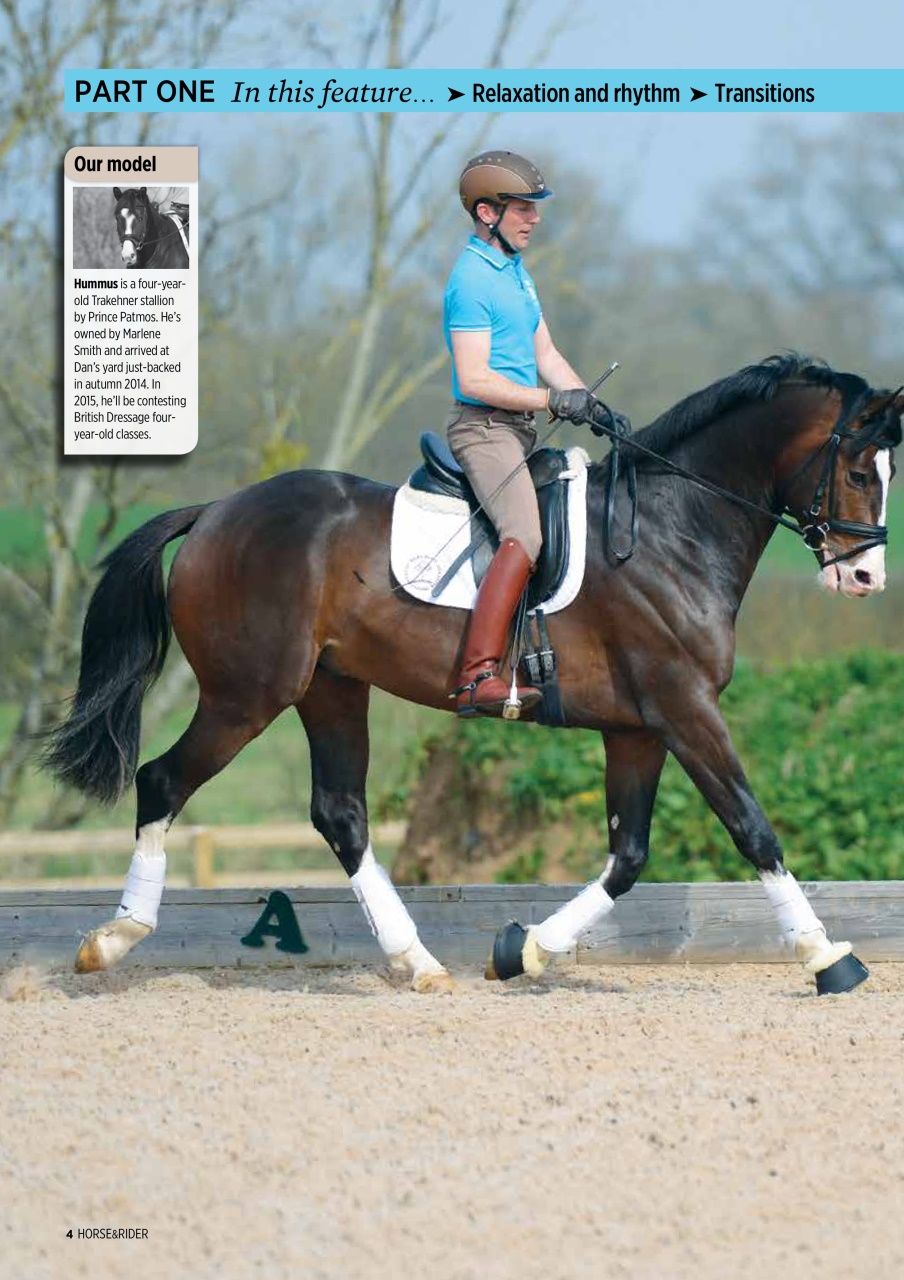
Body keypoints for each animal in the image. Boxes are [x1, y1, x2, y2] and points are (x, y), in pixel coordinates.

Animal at [43, 355, 901, 994]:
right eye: (863, 472)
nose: (865, 578)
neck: (669, 530)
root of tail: (217, 512)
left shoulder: (638, 728)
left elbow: (627, 858)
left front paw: (521, 950)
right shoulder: (684, 708)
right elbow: (752, 827)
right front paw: (829, 958)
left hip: (331, 689)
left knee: (340, 814)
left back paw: (417, 962)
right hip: (246, 694)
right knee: (162, 781)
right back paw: (110, 941)